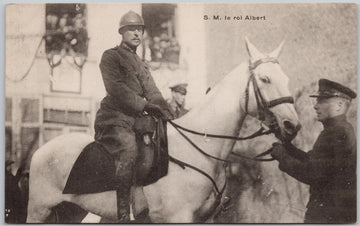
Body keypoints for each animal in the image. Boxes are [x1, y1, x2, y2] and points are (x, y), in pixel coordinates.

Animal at [26, 38, 300, 222]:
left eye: (287, 78)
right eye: (265, 79)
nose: (293, 126)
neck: (200, 150)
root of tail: (40, 151)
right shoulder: (179, 217)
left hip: (72, 210)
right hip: (39, 209)